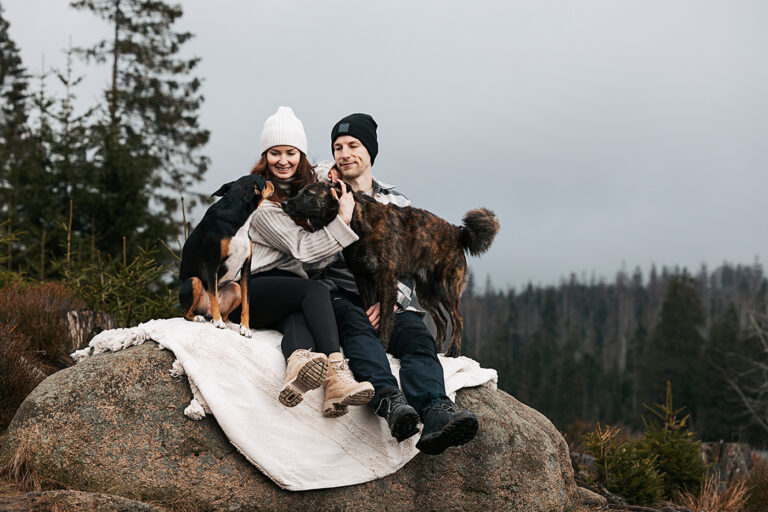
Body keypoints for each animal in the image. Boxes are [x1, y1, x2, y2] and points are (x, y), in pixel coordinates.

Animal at [178, 174, 274, 338]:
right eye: (263, 180)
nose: (271, 181)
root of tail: (206, 312)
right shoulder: (212, 264)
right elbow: (214, 296)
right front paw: (217, 322)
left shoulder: (246, 268)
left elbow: (246, 304)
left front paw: (245, 328)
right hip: (193, 281)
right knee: (187, 313)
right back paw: (203, 318)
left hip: (235, 288)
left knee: (225, 312)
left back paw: (223, 320)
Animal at [280, 182, 498, 358]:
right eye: (300, 191)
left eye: (309, 193)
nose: (283, 203)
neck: (359, 223)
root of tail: (458, 232)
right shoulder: (363, 278)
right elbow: (370, 309)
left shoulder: (386, 279)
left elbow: (385, 316)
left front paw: (383, 344)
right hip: (426, 295)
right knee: (442, 320)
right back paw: (438, 349)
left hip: (446, 287)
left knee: (458, 319)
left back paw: (453, 350)